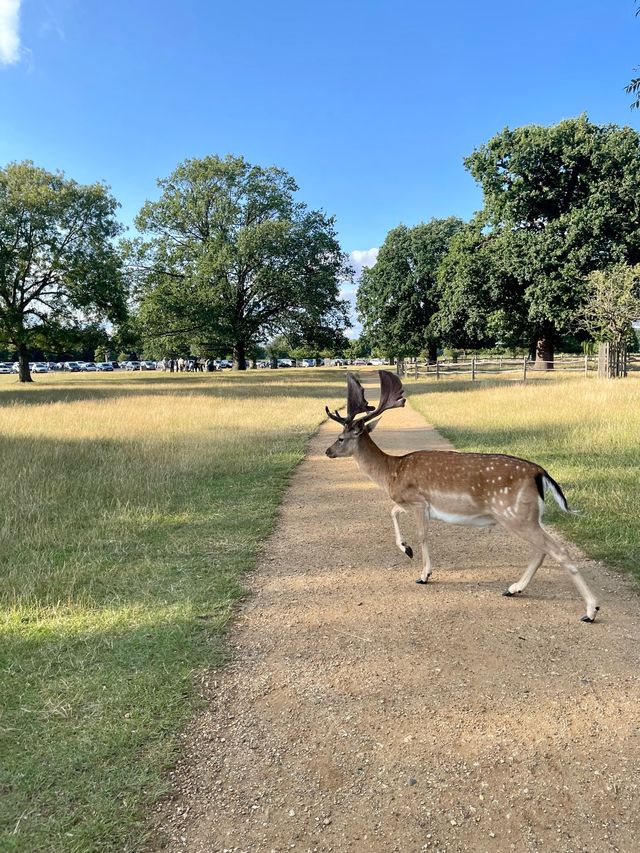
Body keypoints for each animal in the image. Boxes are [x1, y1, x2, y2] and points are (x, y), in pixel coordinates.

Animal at [324, 370, 600, 624]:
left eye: (340, 438)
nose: (327, 451)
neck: (391, 472)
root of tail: (540, 472)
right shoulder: (411, 503)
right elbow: (393, 511)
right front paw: (406, 549)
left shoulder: (418, 501)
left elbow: (421, 534)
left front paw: (423, 574)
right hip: (527, 516)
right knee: (541, 550)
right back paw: (513, 589)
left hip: (516, 514)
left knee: (557, 550)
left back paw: (590, 610)